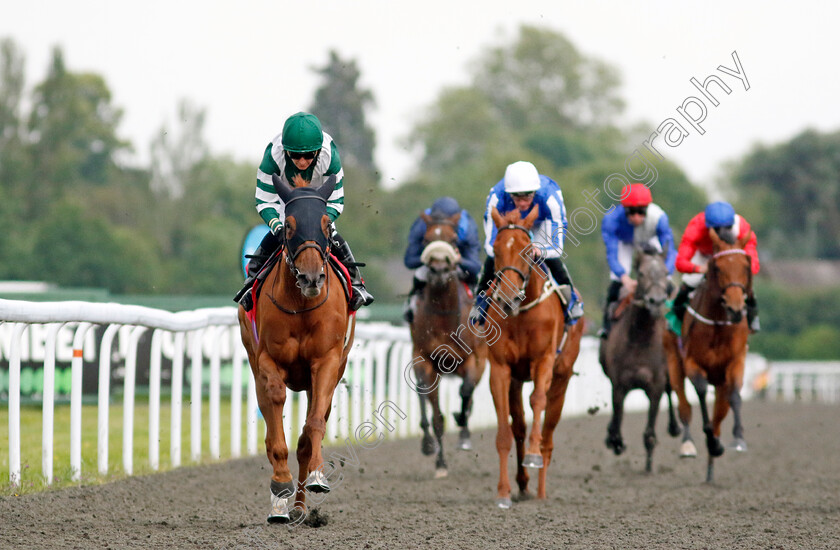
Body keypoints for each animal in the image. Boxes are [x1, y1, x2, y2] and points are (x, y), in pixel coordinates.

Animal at [236, 177, 354, 528]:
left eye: (327, 224)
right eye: (288, 226)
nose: (312, 277)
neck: (301, 304)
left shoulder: (327, 361)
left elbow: (313, 427)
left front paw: (316, 476)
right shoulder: (267, 361)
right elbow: (275, 421)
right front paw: (279, 486)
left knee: (310, 432)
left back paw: (302, 507)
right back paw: (282, 507)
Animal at [408, 211, 482, 478]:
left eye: (453, 240)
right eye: (427, 239)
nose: (439, 269)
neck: (443, 316)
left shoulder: (475, 359)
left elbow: (466, 391)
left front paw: (462, 423)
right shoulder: (424, 359)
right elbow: (437, 416)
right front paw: (440, 463)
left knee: (467, 393)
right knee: (422, 395)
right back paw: (428, 442)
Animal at [480, 207, 584, 508]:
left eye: (527, 251)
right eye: (496, 250)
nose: (507, 299)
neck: (522, 313)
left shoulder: (544, 361)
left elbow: (537, 400)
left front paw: (533, 456)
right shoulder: (500, 369)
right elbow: (505, 431)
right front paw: (503, 492)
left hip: (561, 379)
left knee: (548, 432)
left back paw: (540, 489)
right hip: (517, 380)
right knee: (519, 426)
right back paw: (523, 483)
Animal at [596, 246, 684, 474]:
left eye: (665, 273)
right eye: (642, 273)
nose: (656, 301)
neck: (640, 338)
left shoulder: (655, 385)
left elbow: (650, 433)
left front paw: (649, 466)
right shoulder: (619, 384)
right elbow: (618, 416)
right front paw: (615, 441)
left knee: (671, 390)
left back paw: (675, 426)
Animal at [668, 229, 752, 484]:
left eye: (746, 266)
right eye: (718, 268)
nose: (735, 309)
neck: (717, 323)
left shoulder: (735, 362)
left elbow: (734, 396)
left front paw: (737, 438)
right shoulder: (692, 363)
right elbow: (701, 392)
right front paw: (711, 442)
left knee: (720, 414)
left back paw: (711, 467)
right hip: (673, 362)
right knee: (684, 406)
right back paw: (692, 446)